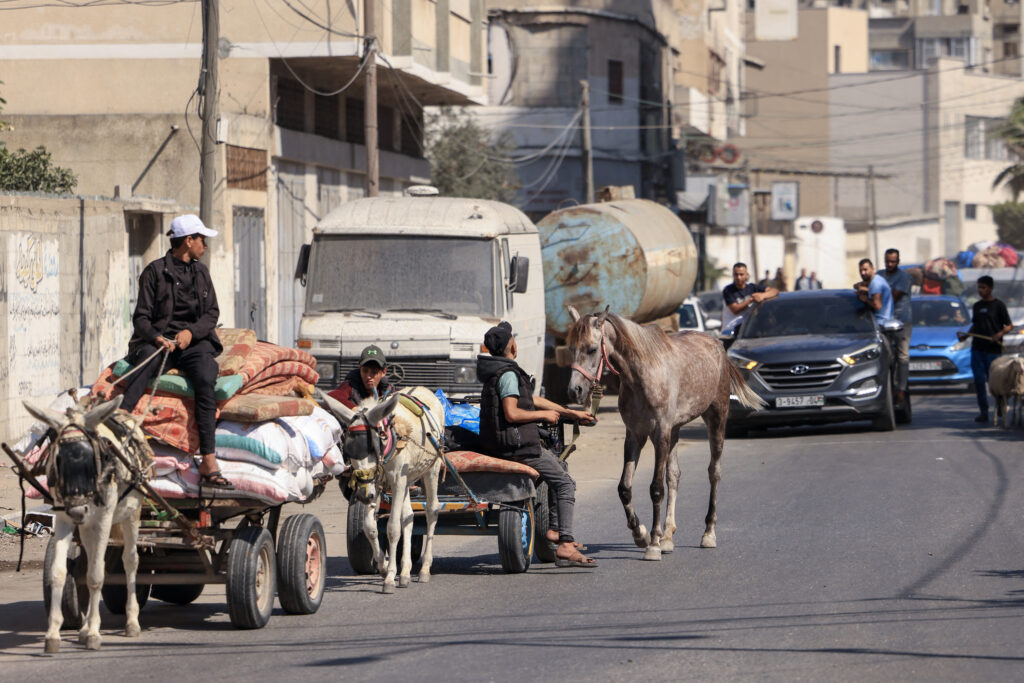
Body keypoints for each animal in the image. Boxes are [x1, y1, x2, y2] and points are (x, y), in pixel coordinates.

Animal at [565, 309, 765, 561]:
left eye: (592, 349)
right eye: (571, 348)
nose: (575, 391)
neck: (643, 375)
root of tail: (719, 346)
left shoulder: (660, 433)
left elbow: (656, 489)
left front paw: (652, 544)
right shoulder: (635, 435)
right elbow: (625, 488)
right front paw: (641, 534)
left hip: (716, 420)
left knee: (714, 473)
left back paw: (708, 533)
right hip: (675, 431)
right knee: (674, 475)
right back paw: (668, 536)